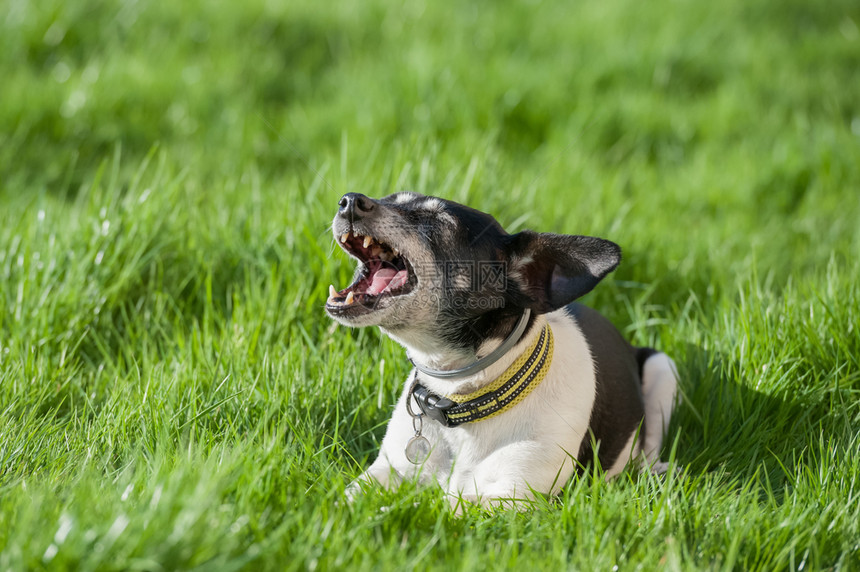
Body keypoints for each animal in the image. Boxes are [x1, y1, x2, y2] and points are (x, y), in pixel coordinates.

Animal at [324, 192, 680, 510]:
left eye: (438, 221)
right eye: (389, 197)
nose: (349, 200)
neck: (461, 398)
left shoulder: (514, 496)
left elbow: (440, 506)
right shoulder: (388, 470)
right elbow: (352, 496)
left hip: (663, 368)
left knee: (649, 448)